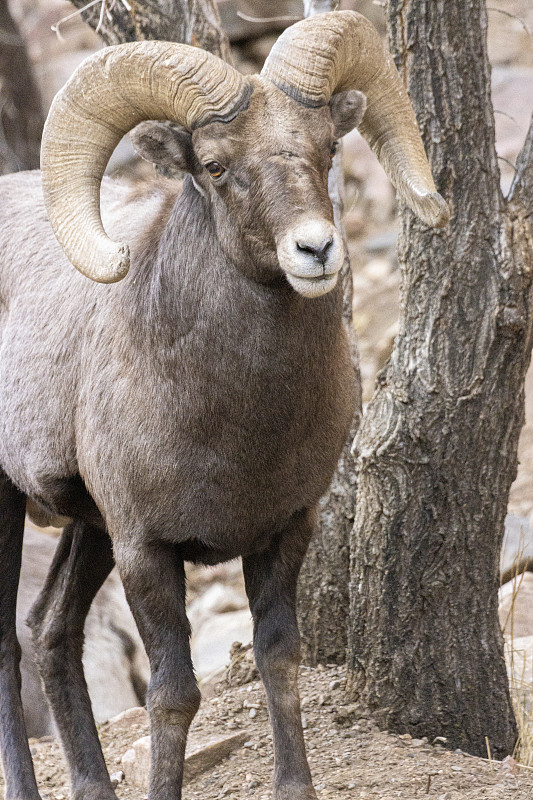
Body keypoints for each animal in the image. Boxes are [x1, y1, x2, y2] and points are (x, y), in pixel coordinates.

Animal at [0, 10, 446, 800]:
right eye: (213, 165)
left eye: (328, 146)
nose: (315, 250)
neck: (236, 425)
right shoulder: (147, 552)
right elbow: (174, 695)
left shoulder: (283, 531)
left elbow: (279, 661)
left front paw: (295, 787)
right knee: (5, 646)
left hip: (87, 530)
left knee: (50, 630)